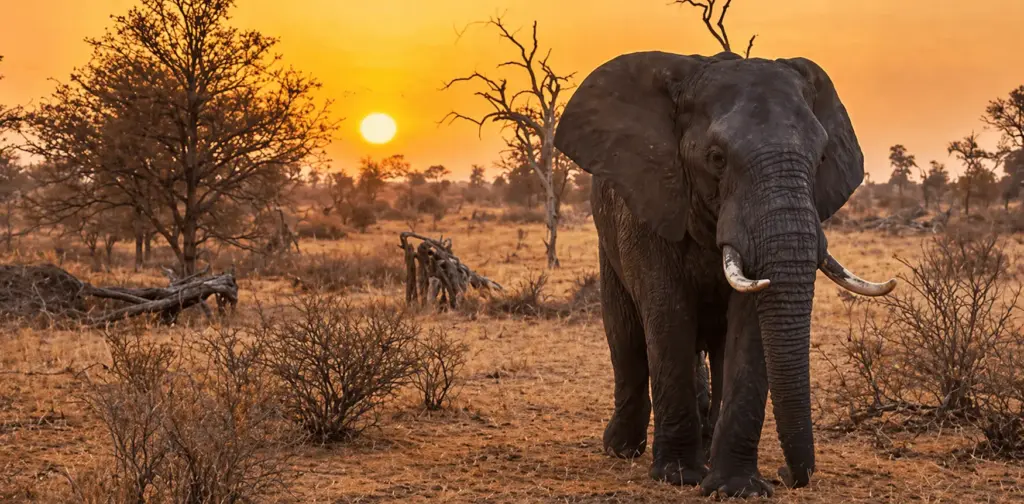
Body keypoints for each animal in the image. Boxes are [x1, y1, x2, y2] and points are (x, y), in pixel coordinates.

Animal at [553, 51, 897, 497]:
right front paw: (679, 476)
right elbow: (667, 315)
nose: (787, 475)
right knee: (625, 335)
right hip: (606, 239)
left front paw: (737, 487)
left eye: (821, 158)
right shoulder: (650, 205)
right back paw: (622, 449)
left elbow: (749, 326)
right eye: (716, 158)